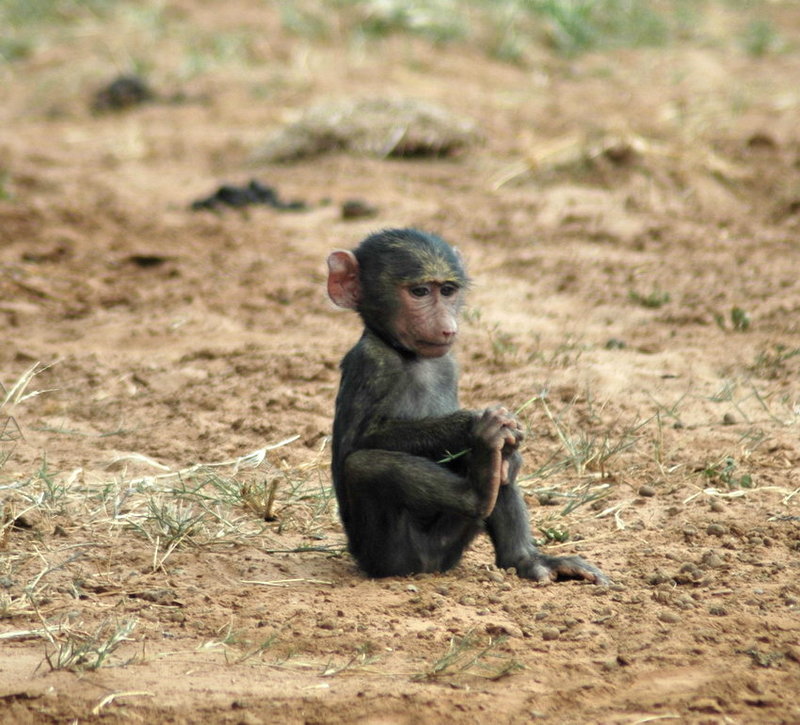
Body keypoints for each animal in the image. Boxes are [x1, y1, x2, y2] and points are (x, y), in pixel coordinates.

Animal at [326, 228, 608, 584]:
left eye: (447, 290)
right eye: (419, 291)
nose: (448, 325)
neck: (408, 355)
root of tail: (429, 567)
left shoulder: (447, 364)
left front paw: (506, 436)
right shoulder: (372, 363)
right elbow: (363, 439)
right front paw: (472, 423)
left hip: (451, 542)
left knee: (501, 469)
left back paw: (524, 555)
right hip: (388, 555)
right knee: (363, 465)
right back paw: (480, 486)